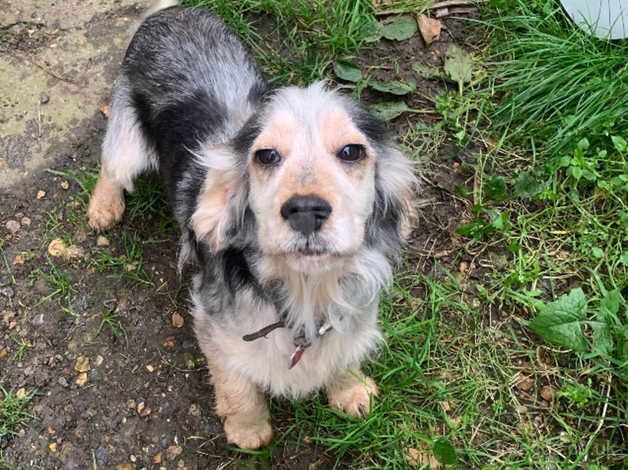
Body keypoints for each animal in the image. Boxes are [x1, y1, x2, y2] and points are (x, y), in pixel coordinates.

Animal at [86, 4, 414, 452]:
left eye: (352, 151)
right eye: (266, 156)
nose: (305, 209)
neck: (304, 290)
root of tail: (173, 12)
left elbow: (344, 349)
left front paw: (350, 390)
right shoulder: (214, 324)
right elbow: (236, 382)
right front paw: (248, 429)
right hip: (127, 141)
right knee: (109, 163)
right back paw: (104, 206)